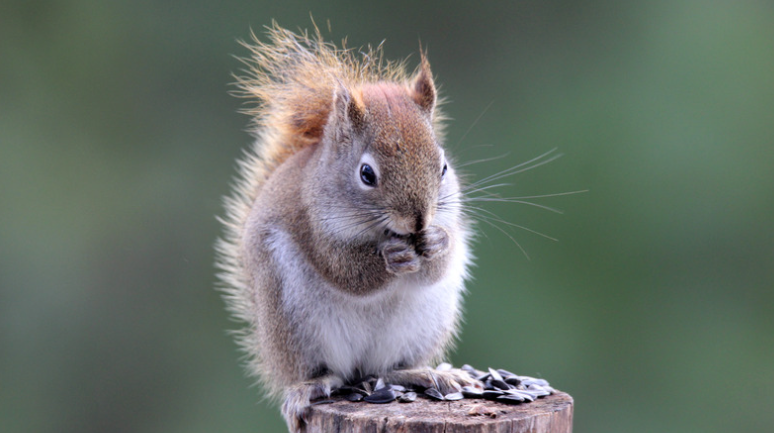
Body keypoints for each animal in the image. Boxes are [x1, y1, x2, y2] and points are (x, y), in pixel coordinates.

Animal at [217, 24, 478, 432]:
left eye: (443, 167)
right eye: (366, 174)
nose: (418, 221)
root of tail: (360, 368)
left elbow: (433, 269)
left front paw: (436, 242)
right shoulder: (311, 223)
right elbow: (346, 272)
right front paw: (390, 257)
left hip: (422, 326)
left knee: (387, 369)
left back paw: (426, 374)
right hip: (294, 325)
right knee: (329, 372)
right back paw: (311, 386)